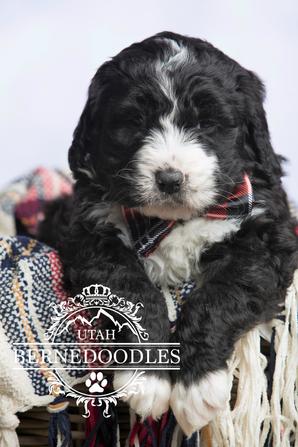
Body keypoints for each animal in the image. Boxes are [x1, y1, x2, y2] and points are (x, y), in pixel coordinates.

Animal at [40, 32, 298, 438]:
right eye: (135, 122)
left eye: (207, 123)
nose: (170, 179)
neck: (171, 221)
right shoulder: (88, 234)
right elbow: (133, 292)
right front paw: (148, 379)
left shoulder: (266, 240)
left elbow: (221, 297)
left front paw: (197, 385)